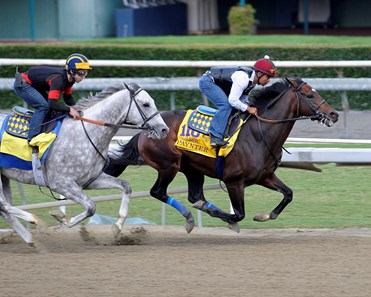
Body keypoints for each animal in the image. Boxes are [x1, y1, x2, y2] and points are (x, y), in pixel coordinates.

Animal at [0, 81, 169, 250]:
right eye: (146, 104)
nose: (164, 129)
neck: (85, 133)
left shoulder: (90, 179)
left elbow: (125, 186)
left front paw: (117, 226)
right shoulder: (60, 183)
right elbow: (91, 206)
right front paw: (63, 218)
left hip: (4, 177)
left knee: (5, 210)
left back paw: (32, 241)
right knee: (4, 205)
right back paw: (37, 222)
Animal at [105, 77, 340, 232]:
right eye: (309, 94)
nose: (333, 114)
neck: (258, 134)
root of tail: (145, 131)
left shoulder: (265, 176)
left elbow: (288, 194)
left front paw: (265, 215)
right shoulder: (233, 181)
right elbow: (239, 213)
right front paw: (228, 219)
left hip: (192, 169)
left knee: (194, 195)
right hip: (169, 165)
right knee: (159, 192)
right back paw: (191, 217)